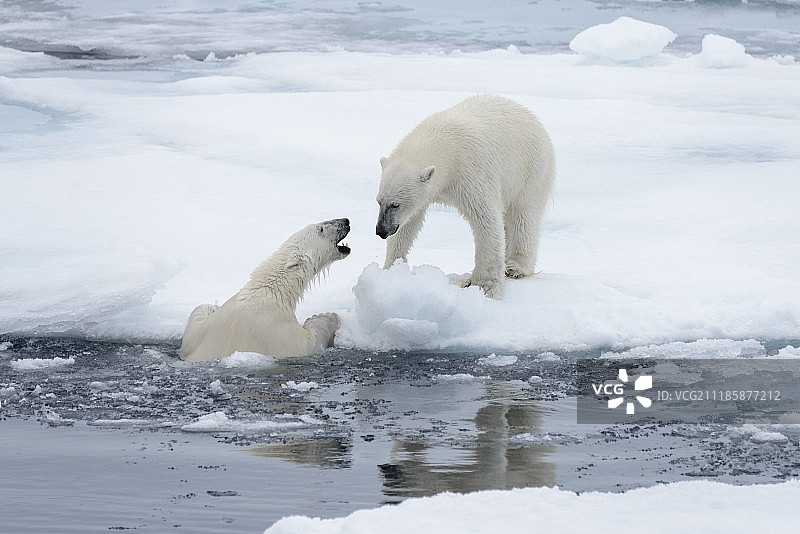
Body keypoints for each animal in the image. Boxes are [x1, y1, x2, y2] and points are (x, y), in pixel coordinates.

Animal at [180, 218, 351, 362]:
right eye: (320, 228)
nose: (345, 221)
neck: (266, 293)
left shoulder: (197, 336)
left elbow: (195, 317)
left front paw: (213, 306)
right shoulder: (280, 336)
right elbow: (310, 343)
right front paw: (326, 316)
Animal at [375, 94, 556, 299]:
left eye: (395, 204)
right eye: (379, 202)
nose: (381, 231)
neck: (445, 145)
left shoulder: (471, 172)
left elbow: (485, 218)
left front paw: (484, 286)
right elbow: (411, 221)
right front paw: (392, 269)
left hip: (531, 171)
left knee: (523, 217)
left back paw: (514, 267)